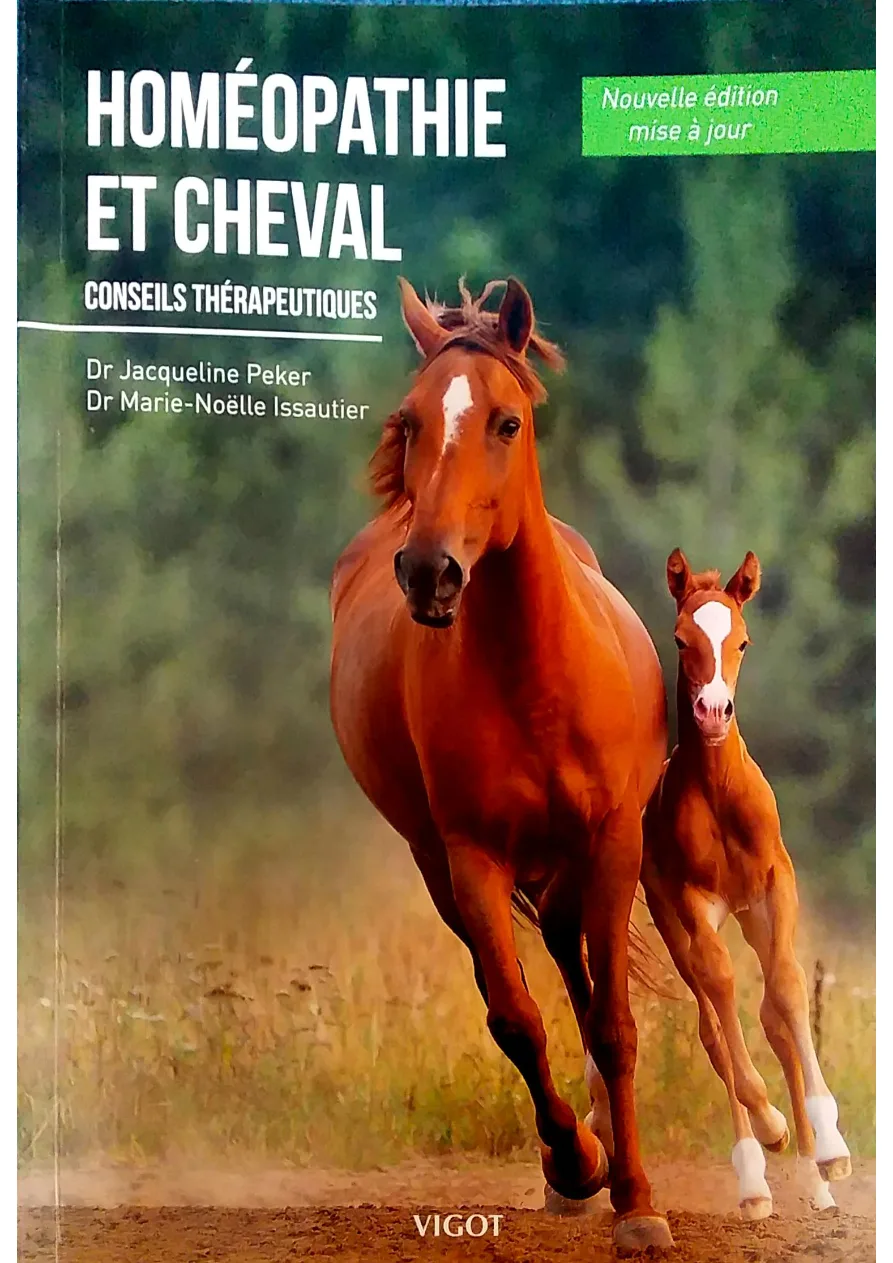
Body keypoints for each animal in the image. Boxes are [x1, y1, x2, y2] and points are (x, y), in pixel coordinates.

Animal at [330, 277, 673, 1252]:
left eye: (506, 421)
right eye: (410, 420)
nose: (429, 572)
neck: (533, 674)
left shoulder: (612, 841)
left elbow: (615, 1024)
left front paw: (637, 1202)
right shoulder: (471, 857)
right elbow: (516, 1019)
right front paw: (577, 1166)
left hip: (573, 863)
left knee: (578, 972)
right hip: (440, 863)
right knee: (526, 982)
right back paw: (580, 1154)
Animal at [641, 548, 852, 1221]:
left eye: (742, 641)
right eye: (681, 640)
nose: (712, 712)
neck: (719, 795)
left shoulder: (773, 886)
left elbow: (785, 992)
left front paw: (831, 1148)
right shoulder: (696, 904)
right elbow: (723, 996)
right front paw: (767, 1138)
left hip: (752, 915)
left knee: (769, 1015)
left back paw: (815, 1179)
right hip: (670, 921)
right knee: (714, 1023)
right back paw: (759, 1170)